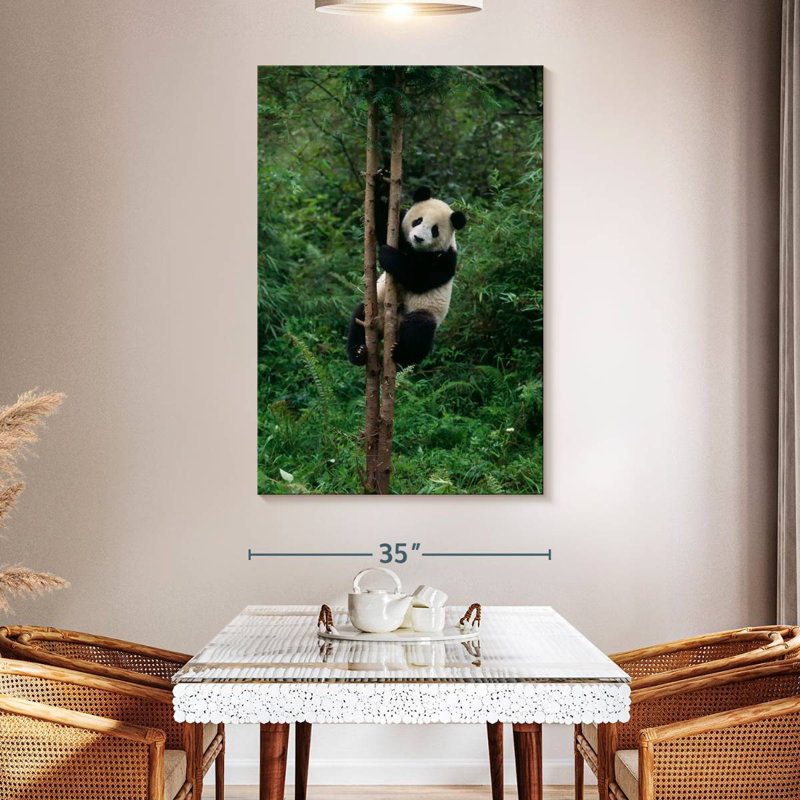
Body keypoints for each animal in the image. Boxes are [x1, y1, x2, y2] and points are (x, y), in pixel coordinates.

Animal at [347, 187, 467, 368]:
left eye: (435, 230)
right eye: (417, 221)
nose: (418, 238)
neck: (415, 250)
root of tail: (387, 327)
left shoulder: (446, 259)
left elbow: (419, 279)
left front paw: (387, 255)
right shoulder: (401, 235)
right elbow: (384, 225)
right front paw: (382, 189)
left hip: (423, 311)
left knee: (418, 331)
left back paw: (400, 354)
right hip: (376, 308)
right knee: (358, 319)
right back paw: (359, 352)